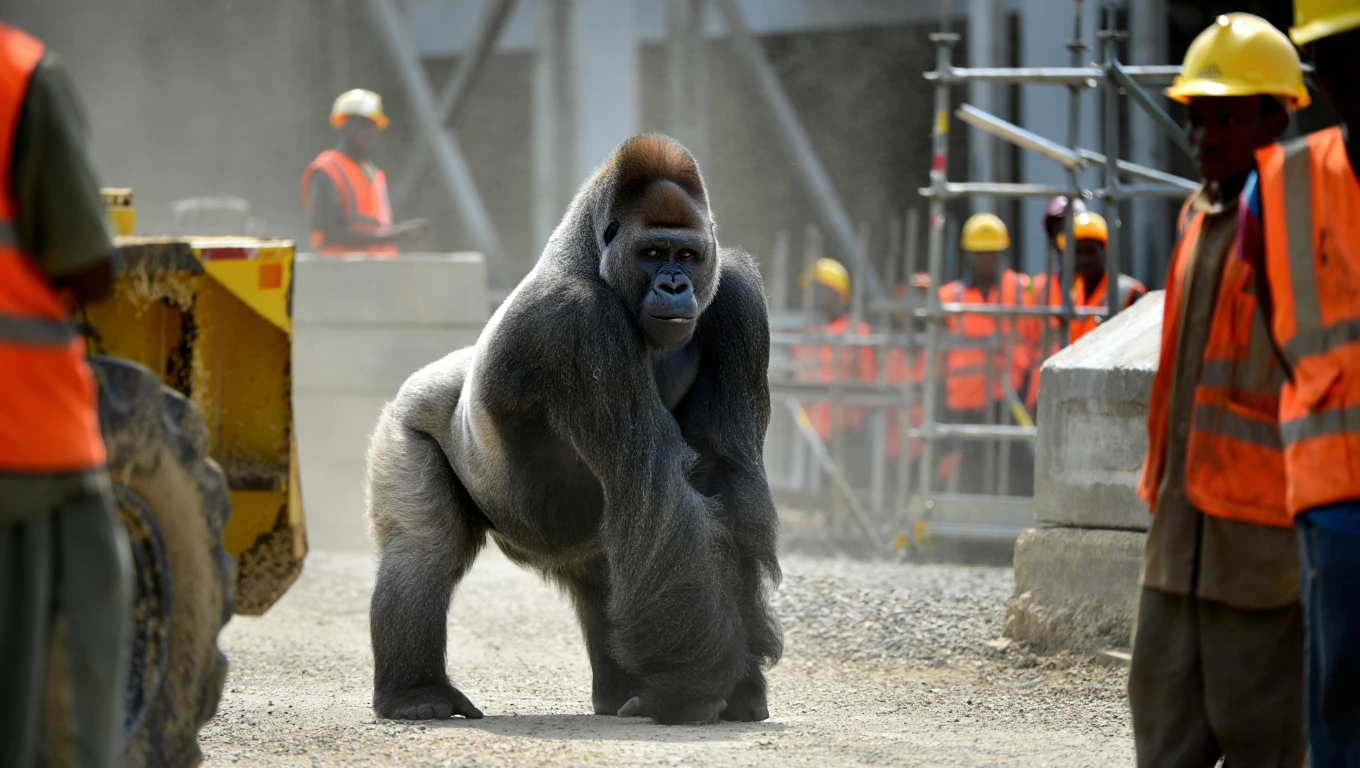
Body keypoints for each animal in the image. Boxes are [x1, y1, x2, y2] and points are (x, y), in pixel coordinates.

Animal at [364, 134, 782, 725]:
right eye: (652, 253)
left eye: (687, 256)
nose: (675, 285)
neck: (591, 254)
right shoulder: (580, 322)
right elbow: (655, 482)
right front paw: (689, 691)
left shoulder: (738, 295)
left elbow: (727, 478)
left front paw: (740, 684)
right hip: (407, 416)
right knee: (422, 551)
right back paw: (415, 693)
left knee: (606, 573)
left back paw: (618, 690)